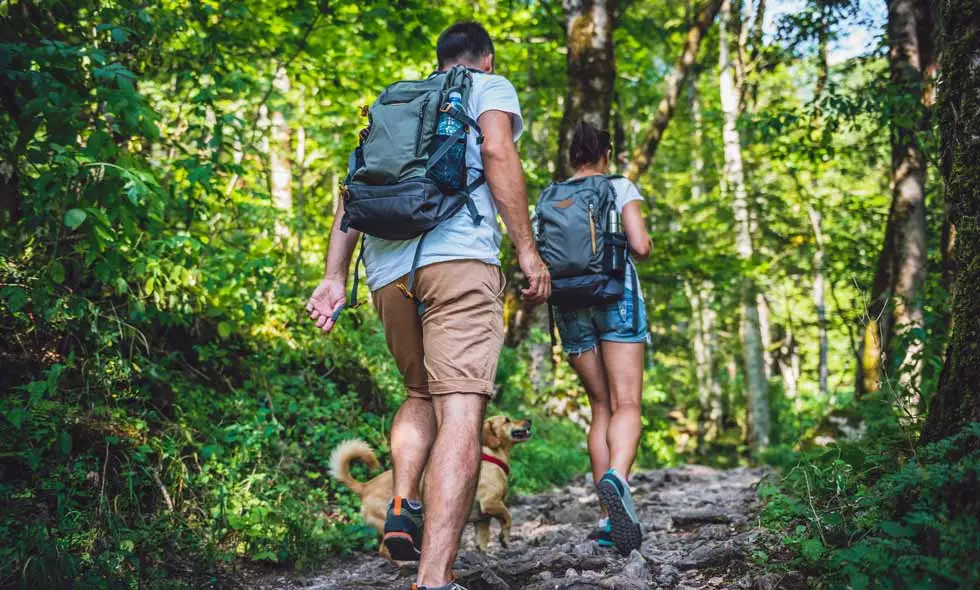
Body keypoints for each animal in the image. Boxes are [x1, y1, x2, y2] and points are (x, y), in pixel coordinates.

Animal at [328, 416, 528, 556]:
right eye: (507, 420)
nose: (530, 421)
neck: (492, 457)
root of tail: (365, 486)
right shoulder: (491, 503)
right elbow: (508, 517)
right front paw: (505, 539)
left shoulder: (483, 519)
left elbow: (483, 541)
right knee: (385, 551)